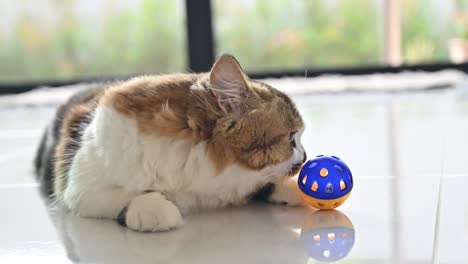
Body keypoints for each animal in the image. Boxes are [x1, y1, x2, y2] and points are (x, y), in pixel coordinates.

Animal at [36, 54, 308, 232]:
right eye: (292, 138)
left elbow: (266, 183)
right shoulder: (78, 187)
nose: (306, 157)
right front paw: (155, 209)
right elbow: (118, 197)